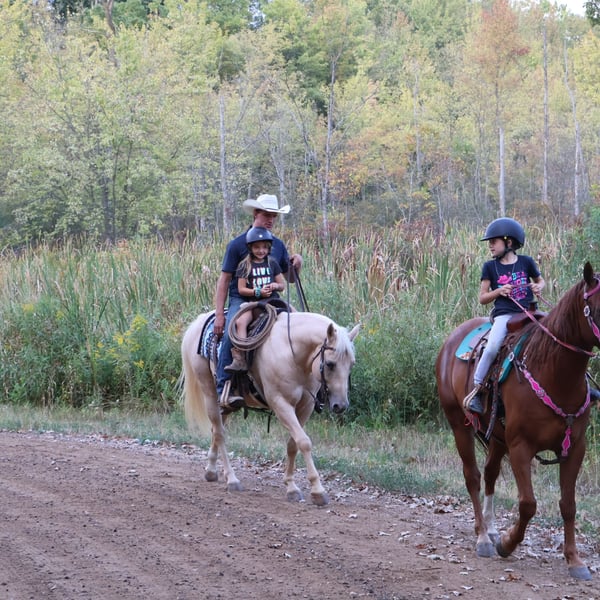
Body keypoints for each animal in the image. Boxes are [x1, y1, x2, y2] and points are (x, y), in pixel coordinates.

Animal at [181, 309, 359, 506]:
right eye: (330, 364)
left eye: (351, 364)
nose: (341, 405)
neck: (292, 354)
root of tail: (199, 322)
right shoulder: (280, 403)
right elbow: (304, 442)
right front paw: (317, 490)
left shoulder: (305, 406)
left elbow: (293, 444)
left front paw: (291, 486)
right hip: (209, 392)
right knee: (220, 434)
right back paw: (232, 479)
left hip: (225, 404)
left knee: (216, 429)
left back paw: (211, 470)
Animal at [436, 262, 599, 580]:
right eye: (599, 305)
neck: (553, 371)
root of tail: (451, 340)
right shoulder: (520, 447)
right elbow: (527, 504)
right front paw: (508, 544)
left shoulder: (575, 448)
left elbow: (569, 505)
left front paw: (575, 560)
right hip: (458, 424)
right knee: (473, 476)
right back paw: (483, 538)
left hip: (497, 437)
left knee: (489, 474)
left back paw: (491, 528)